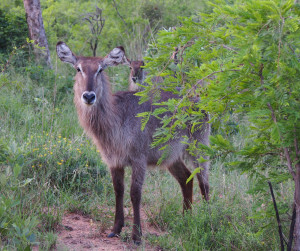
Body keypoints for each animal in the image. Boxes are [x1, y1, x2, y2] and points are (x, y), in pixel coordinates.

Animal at [56, 42, 211, 244]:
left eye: (100, 69)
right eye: (78, 68)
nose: (89, 96)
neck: (117, 119)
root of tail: (198, 98)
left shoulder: (139, 159)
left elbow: (135, 194)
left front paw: (136, 235)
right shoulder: (114, 161)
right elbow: (118, 191)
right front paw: (115, 229)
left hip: (199, 146)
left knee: (204, 182)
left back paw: (208, 219)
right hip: (171, 156)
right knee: (186, 178)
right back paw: (186, 220)